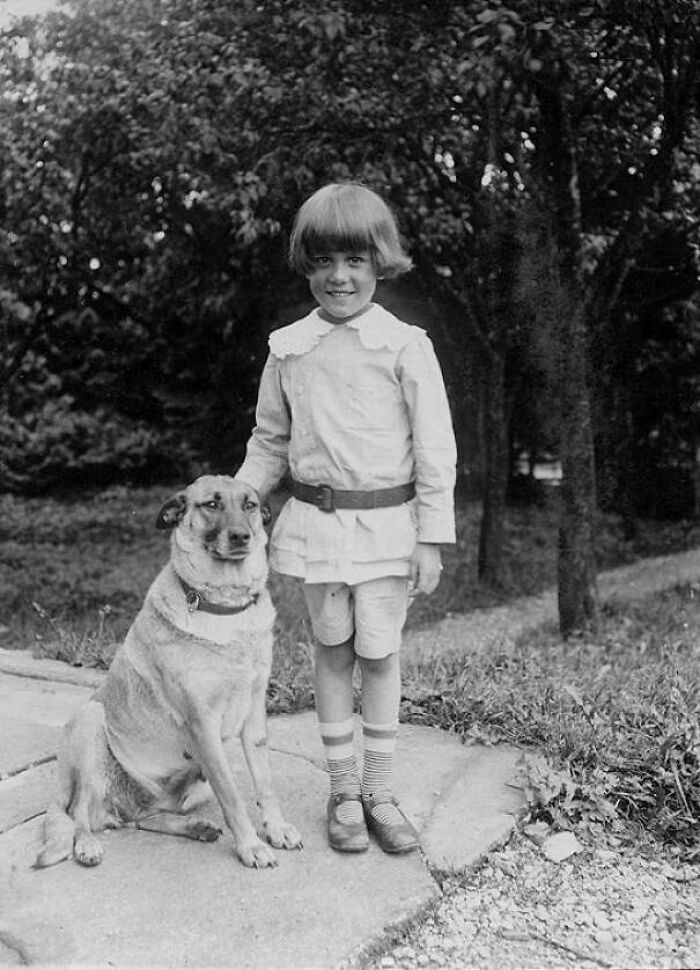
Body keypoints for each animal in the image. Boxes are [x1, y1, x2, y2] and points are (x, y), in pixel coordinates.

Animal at [33, 476, 300, 868]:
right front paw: (251, 846)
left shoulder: (254, 716)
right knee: (81, 812)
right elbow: (234, 796)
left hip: (192, 787)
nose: (241, 537)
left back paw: (193, 827)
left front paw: (276, 828)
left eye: (249, 505)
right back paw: (86, 844)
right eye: (211, 504)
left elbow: (264, 784)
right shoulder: (202, 724)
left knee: (143, 817)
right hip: (90, 722)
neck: (225, 605)